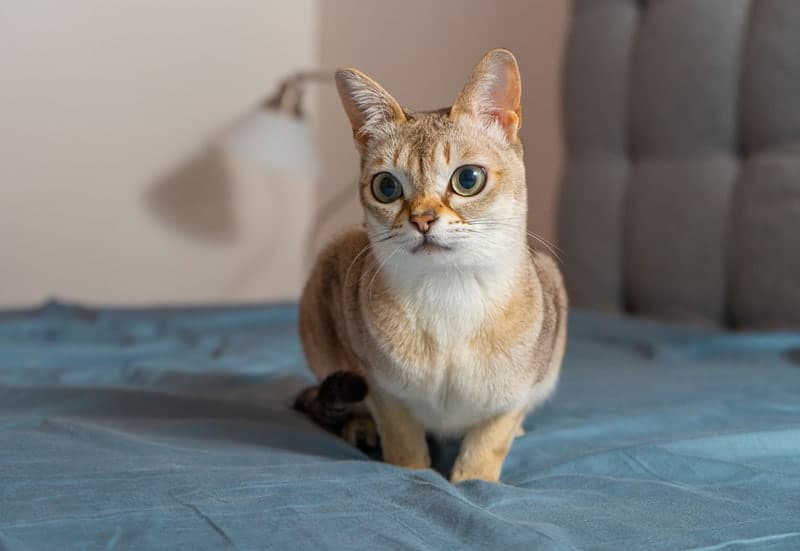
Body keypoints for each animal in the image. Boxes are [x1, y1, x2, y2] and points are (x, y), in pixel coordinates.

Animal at [296, 48, 568, 484]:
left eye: (468, 179)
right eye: (386, 187)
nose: (422, 220)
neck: (450, 295)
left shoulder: (517, 395)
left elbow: (488, 445)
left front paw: (474, 483)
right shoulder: (382, 388)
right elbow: (405, 444)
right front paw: (412, 472)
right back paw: (360, 428)